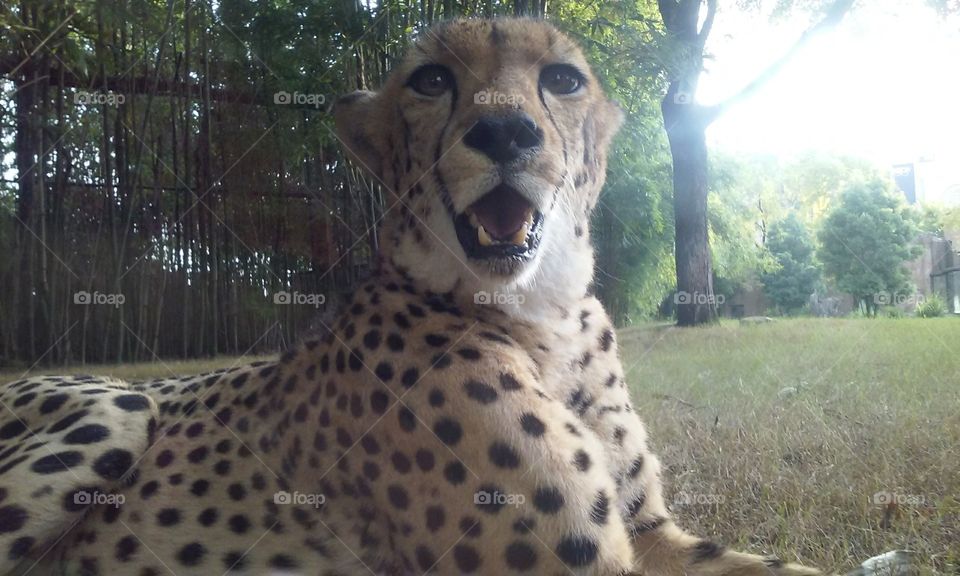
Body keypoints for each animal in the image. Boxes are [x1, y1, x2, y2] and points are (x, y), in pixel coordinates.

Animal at [0, 17, 826, 576]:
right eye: (431, 80)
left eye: (562, 79)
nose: (505, 131)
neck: (541, 312)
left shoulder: (652, 534)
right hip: (119, 403)